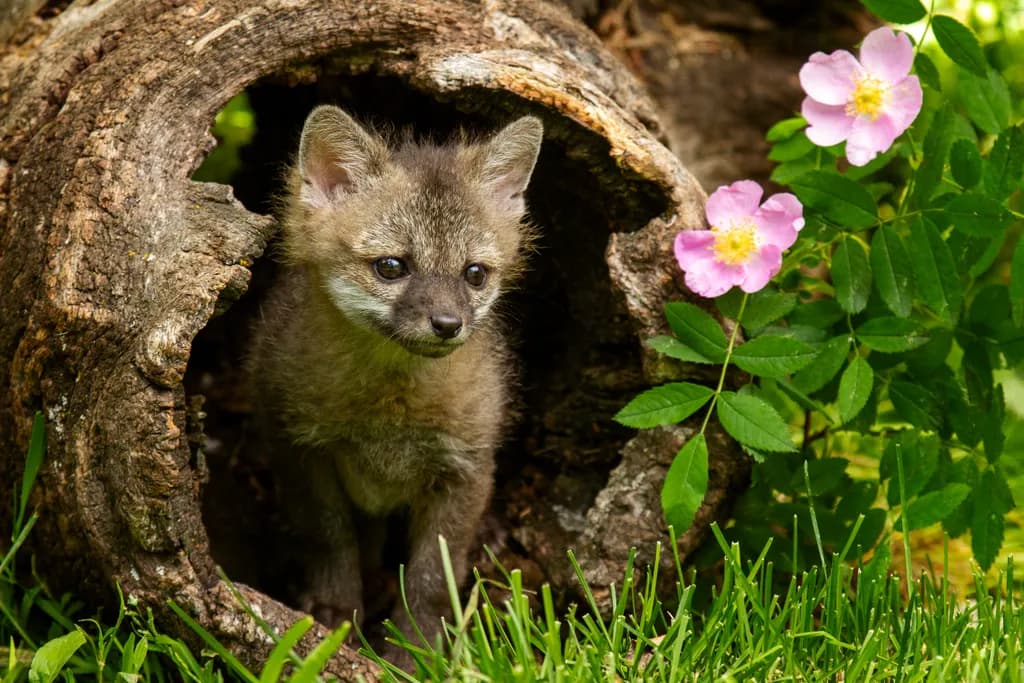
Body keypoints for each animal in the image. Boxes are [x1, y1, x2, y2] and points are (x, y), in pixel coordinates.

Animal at [247, 105, 542, 658]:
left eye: (474, 274)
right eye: (391, 267)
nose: (448, 324)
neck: (390, 411)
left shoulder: (464, 468)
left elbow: (431, 578)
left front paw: (415, 651)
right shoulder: (300, 449)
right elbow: (331, 539)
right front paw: (334, 613)